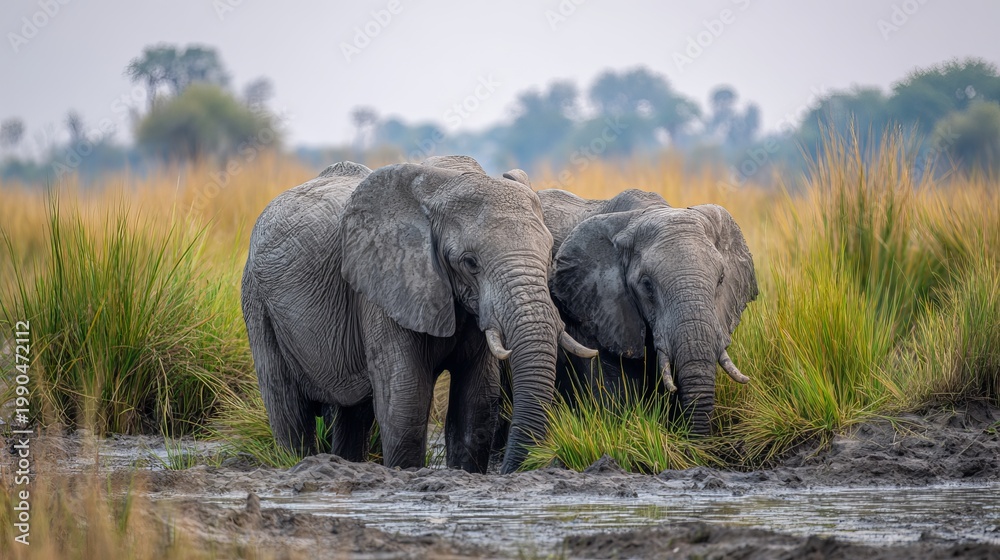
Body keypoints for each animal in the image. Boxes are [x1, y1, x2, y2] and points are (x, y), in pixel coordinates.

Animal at [241, 157, 596, 474]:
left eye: (549, 255)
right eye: (470, 263)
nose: (510, 471)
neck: (446, 182)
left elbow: (477, 401)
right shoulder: (383, 287)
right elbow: (406, 399)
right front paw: (407, 473)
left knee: (353, 414)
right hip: (256, 300)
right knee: (287, 406)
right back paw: (296, 461)